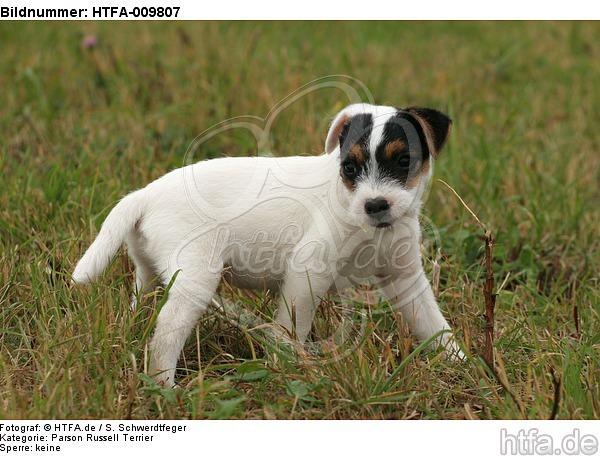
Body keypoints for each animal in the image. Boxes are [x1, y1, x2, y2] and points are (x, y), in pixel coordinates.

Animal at [71, 102, 464, 384]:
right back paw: (165, 387)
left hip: (150, 274)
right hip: (195, 280)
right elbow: (293, 327)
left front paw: (461, 362)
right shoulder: (308, 272)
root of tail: (145, 195)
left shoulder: (405, 278)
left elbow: (433, 324)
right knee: (166, 334)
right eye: (349, 168)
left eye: (404, 160)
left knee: (141, 306)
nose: (375, 205)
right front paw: (289, 364)